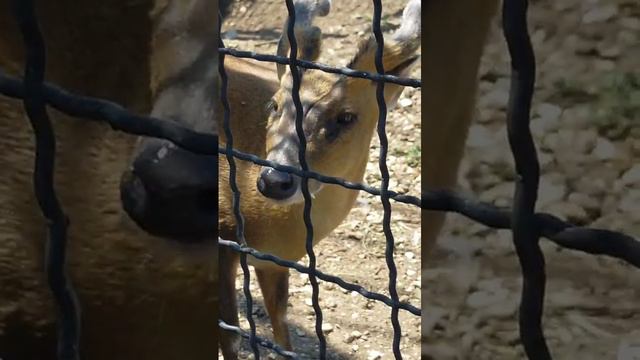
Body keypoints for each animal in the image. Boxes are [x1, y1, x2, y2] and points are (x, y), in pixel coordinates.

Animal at [215, 0, 422, 356]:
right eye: (275, 105)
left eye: (346, 116)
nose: (274, 180)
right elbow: (230, 335)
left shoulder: (274, 261)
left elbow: (281, 328)